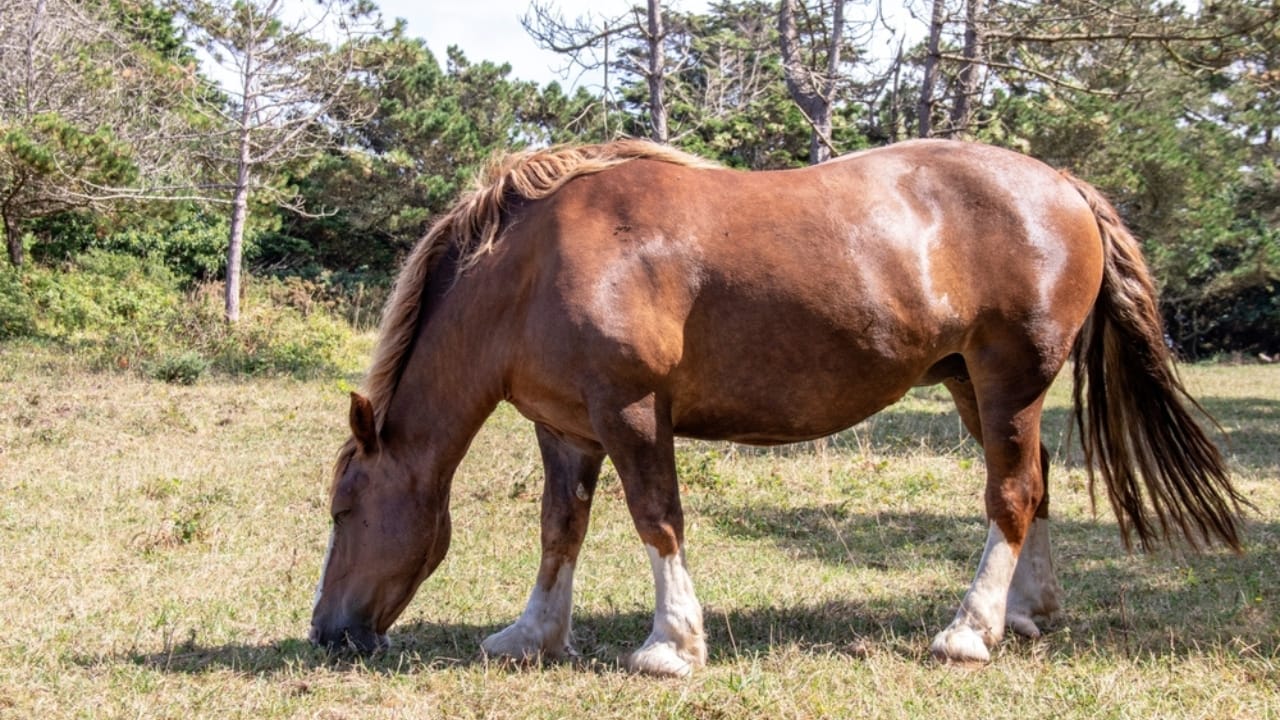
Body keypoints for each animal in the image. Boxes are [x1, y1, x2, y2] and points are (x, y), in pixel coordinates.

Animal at [308, 138, 1247, 676]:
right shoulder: (567, 427)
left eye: (344, 509)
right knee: (1035, 483)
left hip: (1008, 378)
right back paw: (1026, 613)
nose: (327, 632)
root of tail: (1062, 184)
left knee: (1010, 494)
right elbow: (559, 530)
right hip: (967, 385)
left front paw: (670, 645)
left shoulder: (632, 410)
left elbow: (657, 518)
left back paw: (969, 631)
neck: (537, 265)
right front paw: (532, 636)